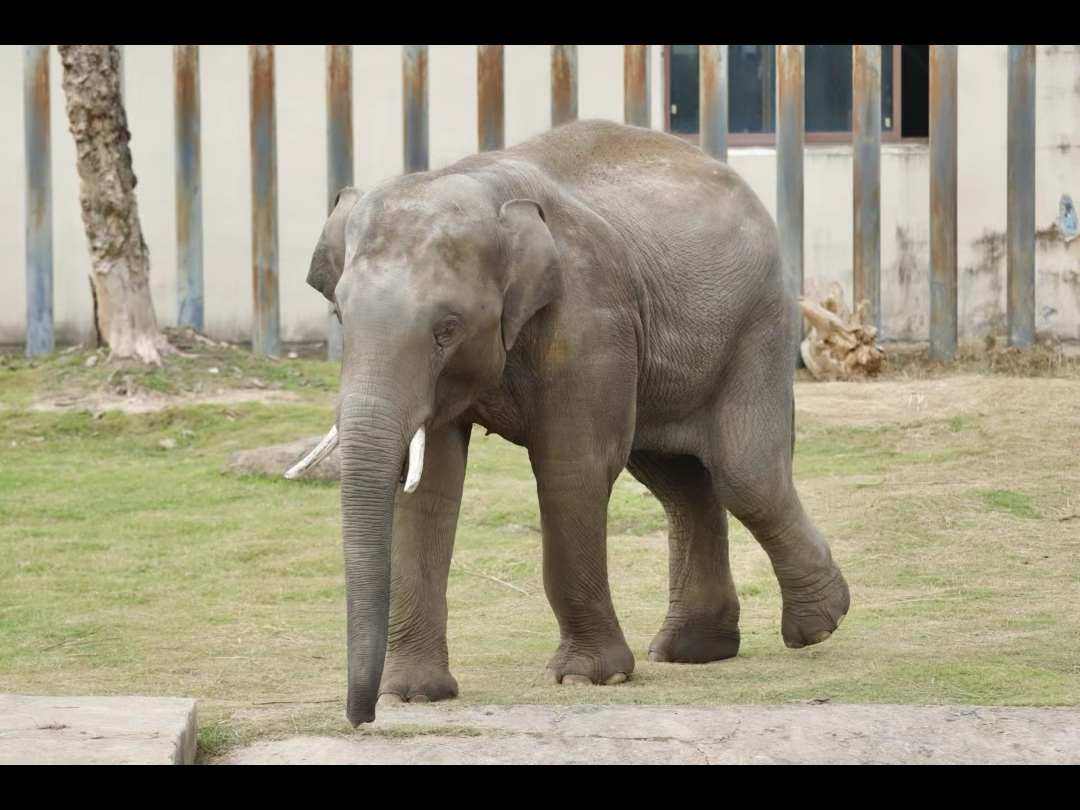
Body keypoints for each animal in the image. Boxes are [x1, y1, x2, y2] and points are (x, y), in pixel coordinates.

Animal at [287, 115, 851, 730]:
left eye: (447, 327)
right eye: (340, 316)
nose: (360, 718)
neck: (480, 185)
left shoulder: (590, 317)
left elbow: (572, 466)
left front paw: (588, 677)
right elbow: (430, 487)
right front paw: (410, 697)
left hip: (759, 323)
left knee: (745, 475)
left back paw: (820, 625)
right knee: (679, 483)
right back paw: (694, 651)